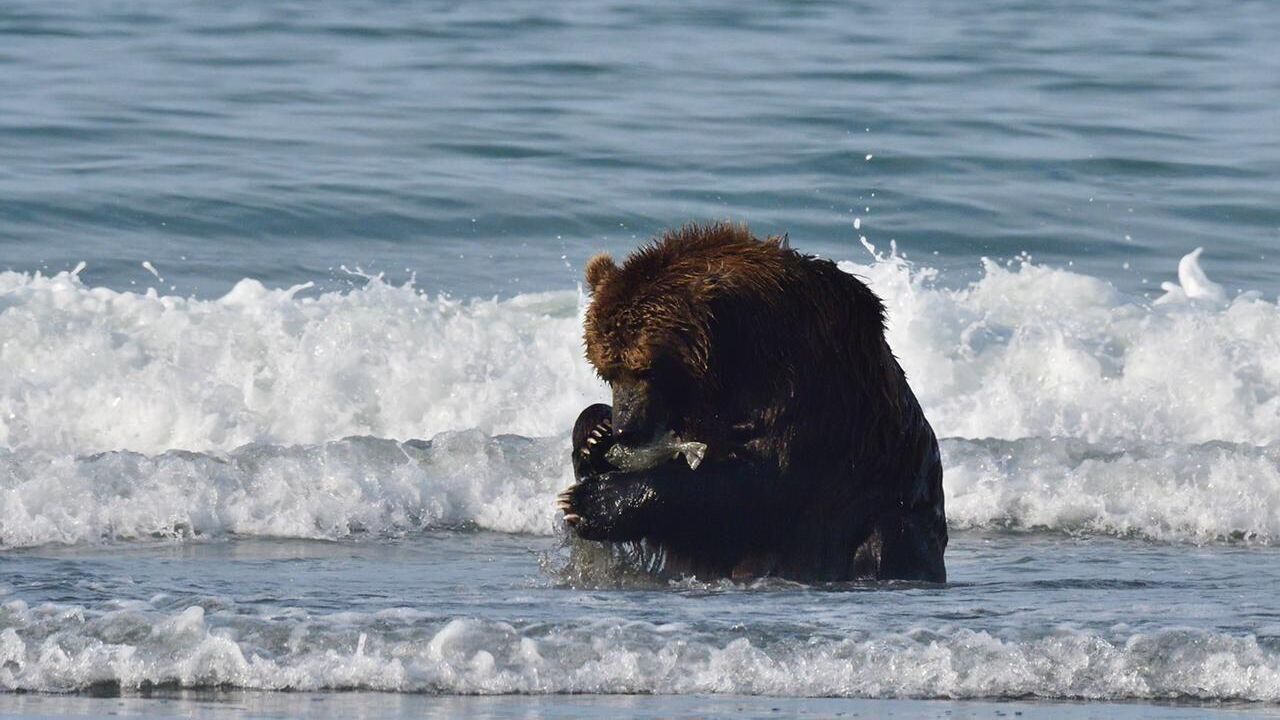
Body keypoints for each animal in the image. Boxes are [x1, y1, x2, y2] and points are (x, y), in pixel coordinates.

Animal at [555, 221, 947, 579]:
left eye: (647, 370)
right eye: (607, 370)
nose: (626, 429)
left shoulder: (805, 380)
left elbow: (761, 478)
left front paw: (591, 502)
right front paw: (594, 435)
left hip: (890, 513)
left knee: (885, 535)